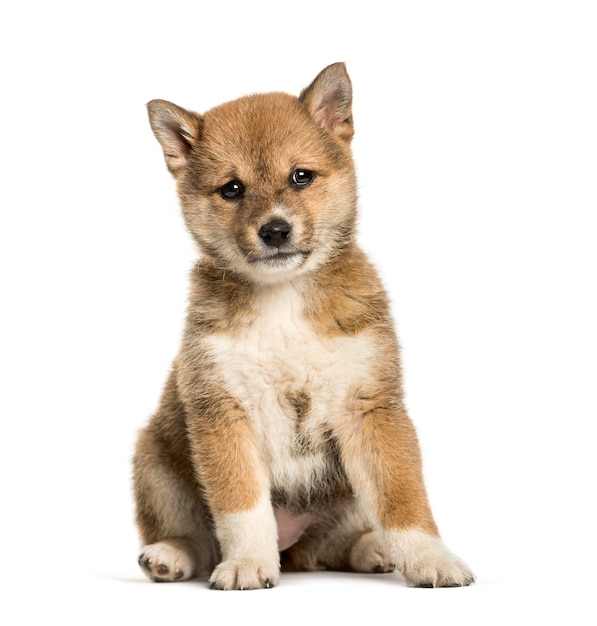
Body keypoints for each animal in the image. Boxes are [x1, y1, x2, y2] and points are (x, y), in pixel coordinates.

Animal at [133, 61, 472, 588]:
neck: (284, 297)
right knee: (196, 538)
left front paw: (430, 558)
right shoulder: (222, 412)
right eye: (232, 189)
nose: (274, 230)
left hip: (347, 496)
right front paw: (248, 563)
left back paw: (374, 550)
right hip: (155, 462)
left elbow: (403, 499)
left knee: (330, 547)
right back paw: (169, 556)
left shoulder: (370, 407)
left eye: (300, 177)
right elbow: (241, 507)